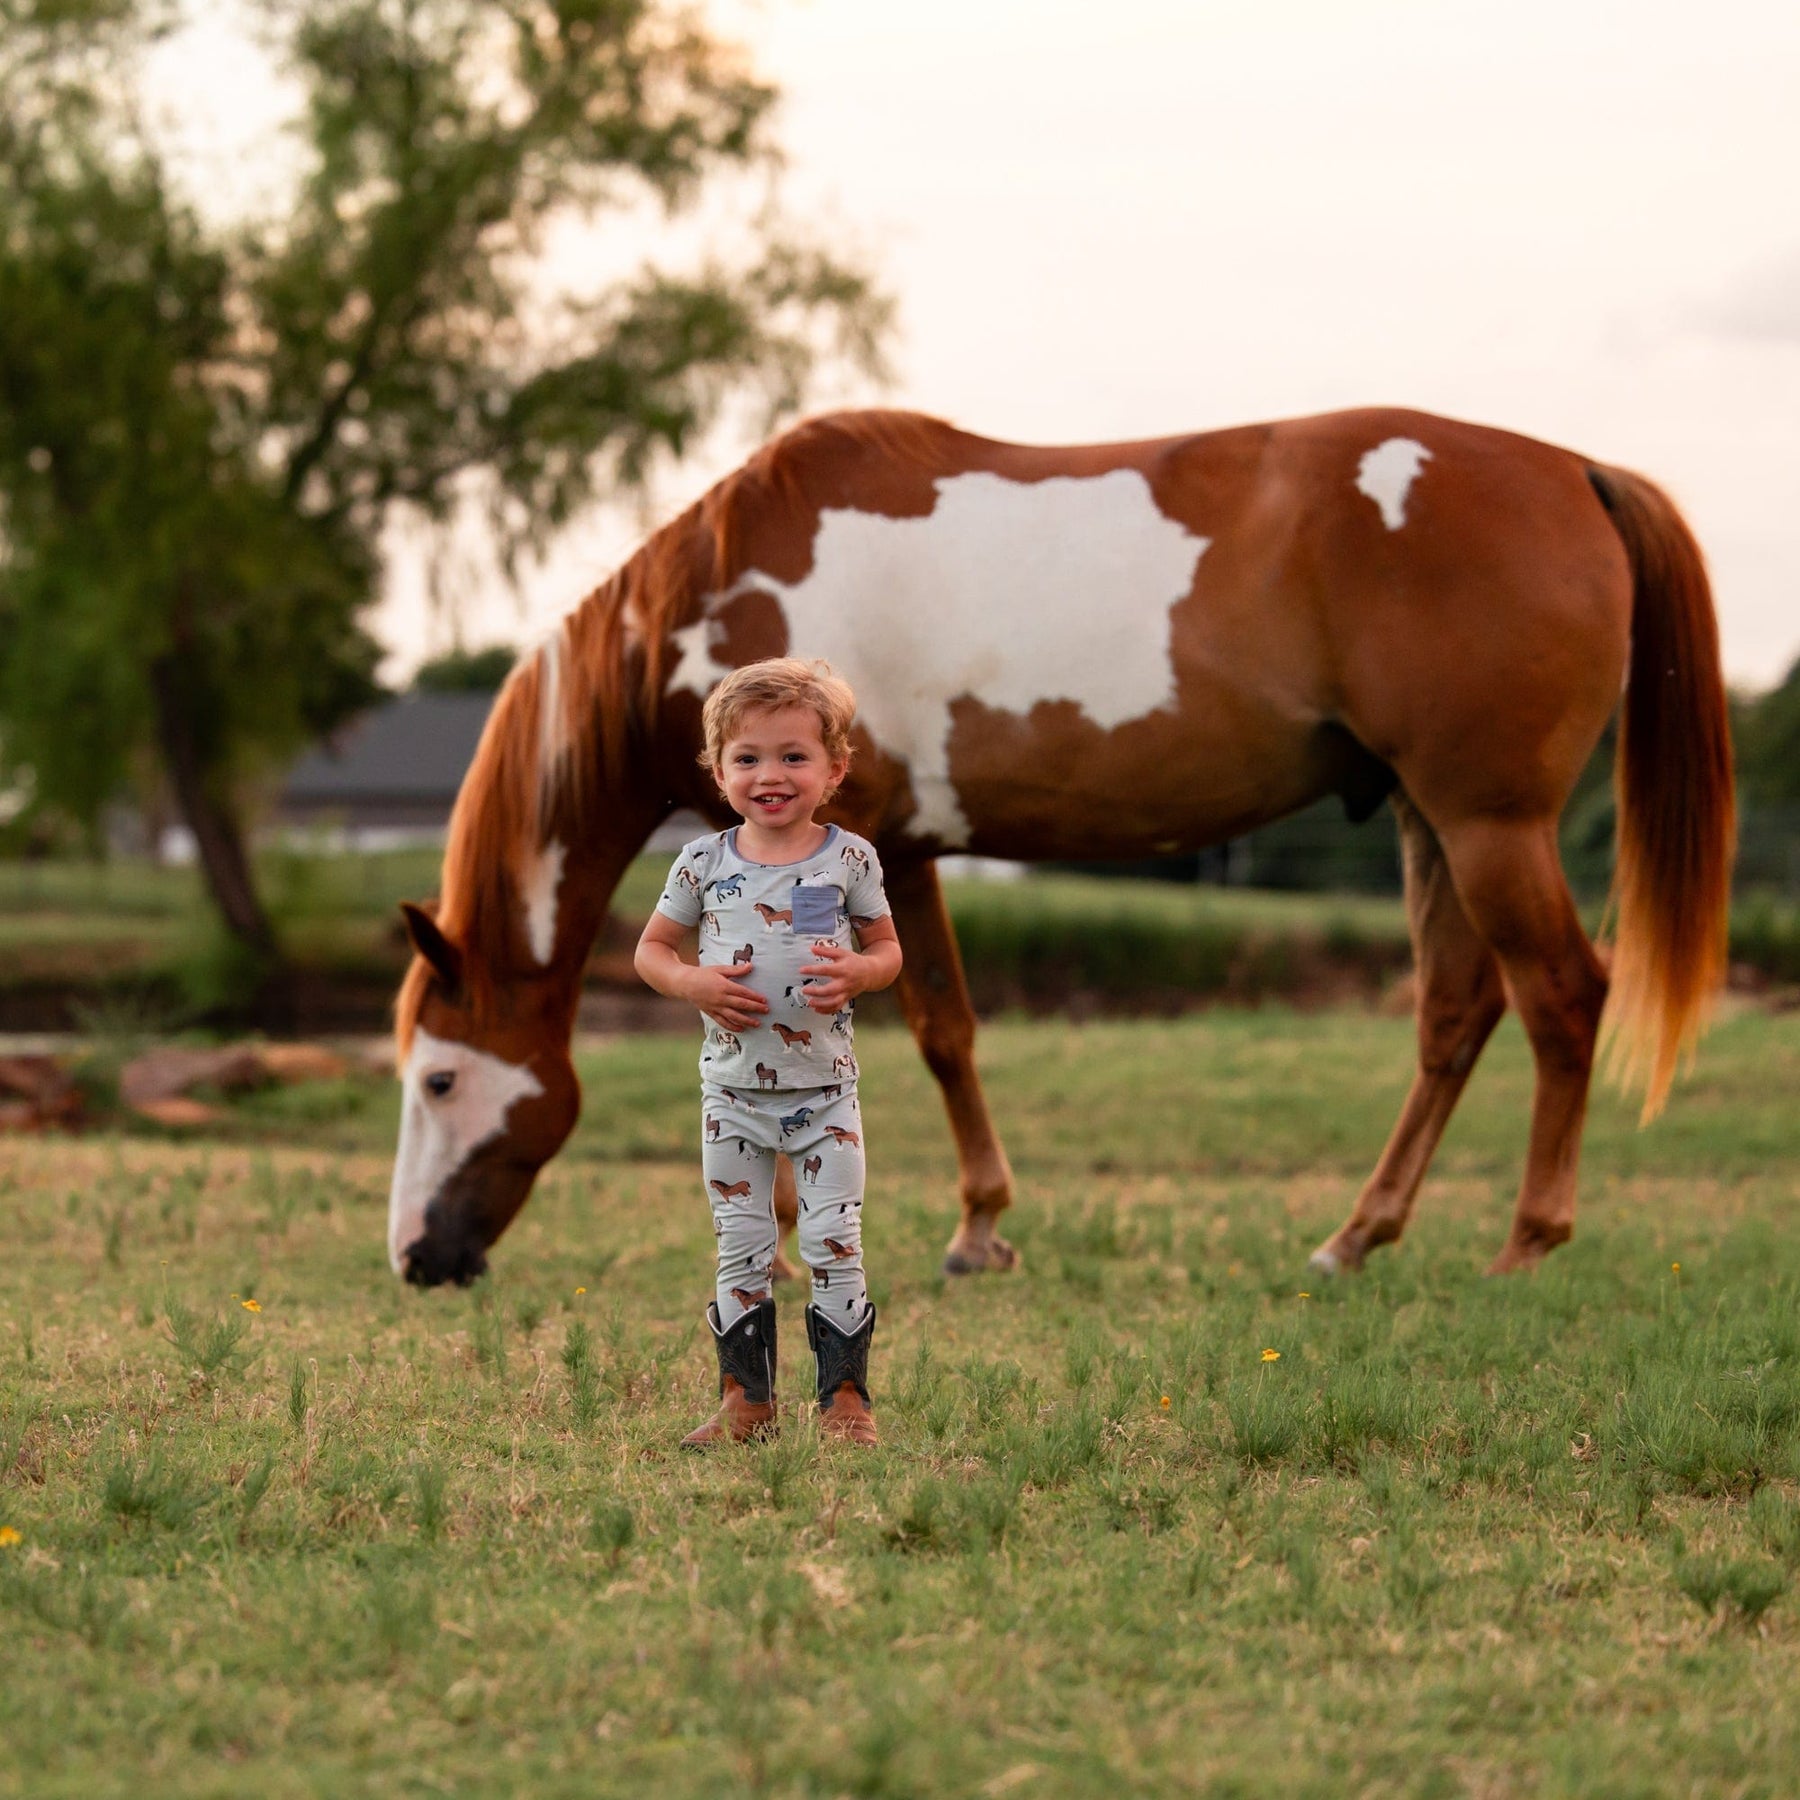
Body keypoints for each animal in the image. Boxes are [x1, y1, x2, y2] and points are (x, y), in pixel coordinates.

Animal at [387, 406, 1735, 1288]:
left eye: (438, 1080)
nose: (415, 1259)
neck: (728, 591)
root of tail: (1576, 469)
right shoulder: (907, 852)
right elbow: (925, 1028)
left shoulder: (881, 846)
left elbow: (929, 1032)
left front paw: (957, 1231)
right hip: (1428, 819)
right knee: (1456, 1015)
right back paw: (1357, 1237)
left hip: (1489, 824)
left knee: (1563, 998)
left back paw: (1529, 1242)